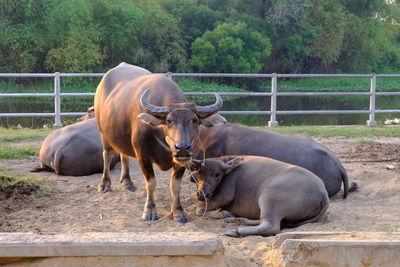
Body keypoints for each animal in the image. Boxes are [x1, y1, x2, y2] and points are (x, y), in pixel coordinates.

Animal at [94, 62, 225, 224]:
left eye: (195, 120)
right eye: (168, 121)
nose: (182, 148)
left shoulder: (182, 160)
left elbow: (175, 186)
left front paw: (178, 212)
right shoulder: (143, 156)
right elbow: (151, 183)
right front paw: (149, 211)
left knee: (124, 154)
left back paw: (127, 182)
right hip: (103, 133)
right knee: (107, 154)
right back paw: (105, 184)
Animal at [189, 157, 330, 239]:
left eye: (217, 174)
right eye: (200, 172)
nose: (202, 194)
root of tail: (323, 193)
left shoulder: (224, 196)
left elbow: (199, 209)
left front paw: (222, 213)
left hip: (268, 199)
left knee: (271, 226)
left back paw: (236, 230)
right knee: (264, 221)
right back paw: (239, 220)